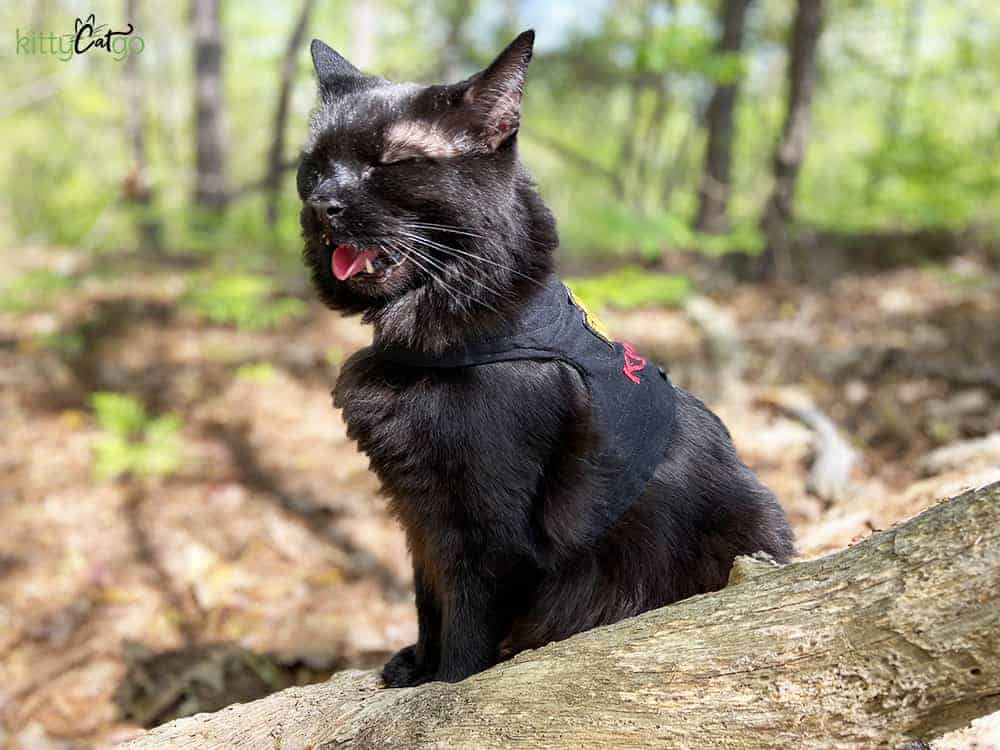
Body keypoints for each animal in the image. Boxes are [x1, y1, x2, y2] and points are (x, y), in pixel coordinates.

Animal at [296, 30, 796, 688]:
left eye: (392, 162)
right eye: (313, 167)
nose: (322, 204)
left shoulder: (488, 528)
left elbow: (465, 635)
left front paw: (443, 688)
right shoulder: (421, 512)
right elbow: (428, 600)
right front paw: (417, 668)